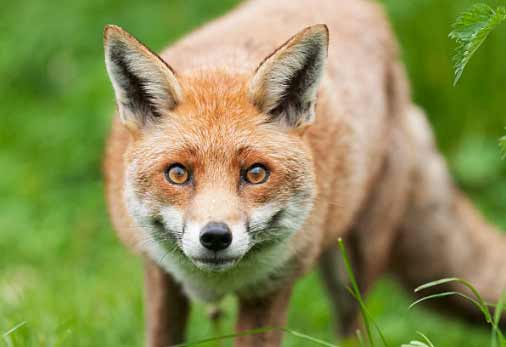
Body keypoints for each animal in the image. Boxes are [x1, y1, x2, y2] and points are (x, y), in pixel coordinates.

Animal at [103, 0, 506, 347]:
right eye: (177, 174)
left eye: (255, 174)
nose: (215, 237)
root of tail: (369, 8)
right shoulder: (159, 274)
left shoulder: (271, 289)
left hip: (352, 267)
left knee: (354, 328)